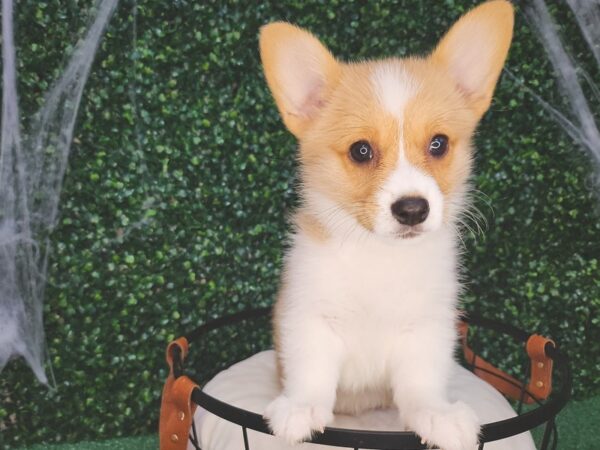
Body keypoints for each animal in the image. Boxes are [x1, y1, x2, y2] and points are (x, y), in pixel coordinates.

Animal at [260, 1, 512, 448]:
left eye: (438, 144)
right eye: (361, 150)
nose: (412, 210)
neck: (380, 255)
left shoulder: (425, 329)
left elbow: (422, 383)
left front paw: (438, 416)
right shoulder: (310, 317)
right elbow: (312, 371)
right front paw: (301, 409)